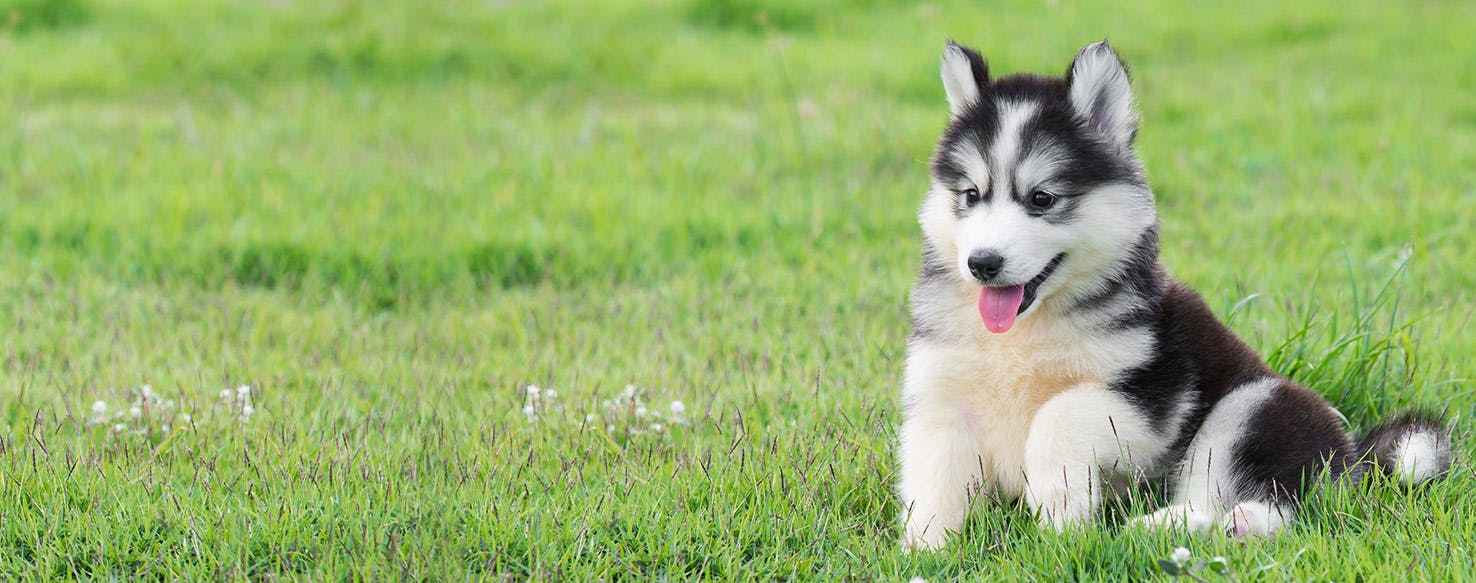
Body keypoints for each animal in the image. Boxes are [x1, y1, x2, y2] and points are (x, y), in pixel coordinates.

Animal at [897, 38, 1452, 549]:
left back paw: (1221, 524)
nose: (982, 264)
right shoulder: (943, 398)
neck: (1021, 336)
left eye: (1042, 198)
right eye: (971, 195)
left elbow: (1058, 414)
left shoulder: (1155, 395)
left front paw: (1060, 512)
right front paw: (926, 550)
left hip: (1251, 404)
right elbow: (932, 478)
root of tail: (1354, 455)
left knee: (1275, 506)